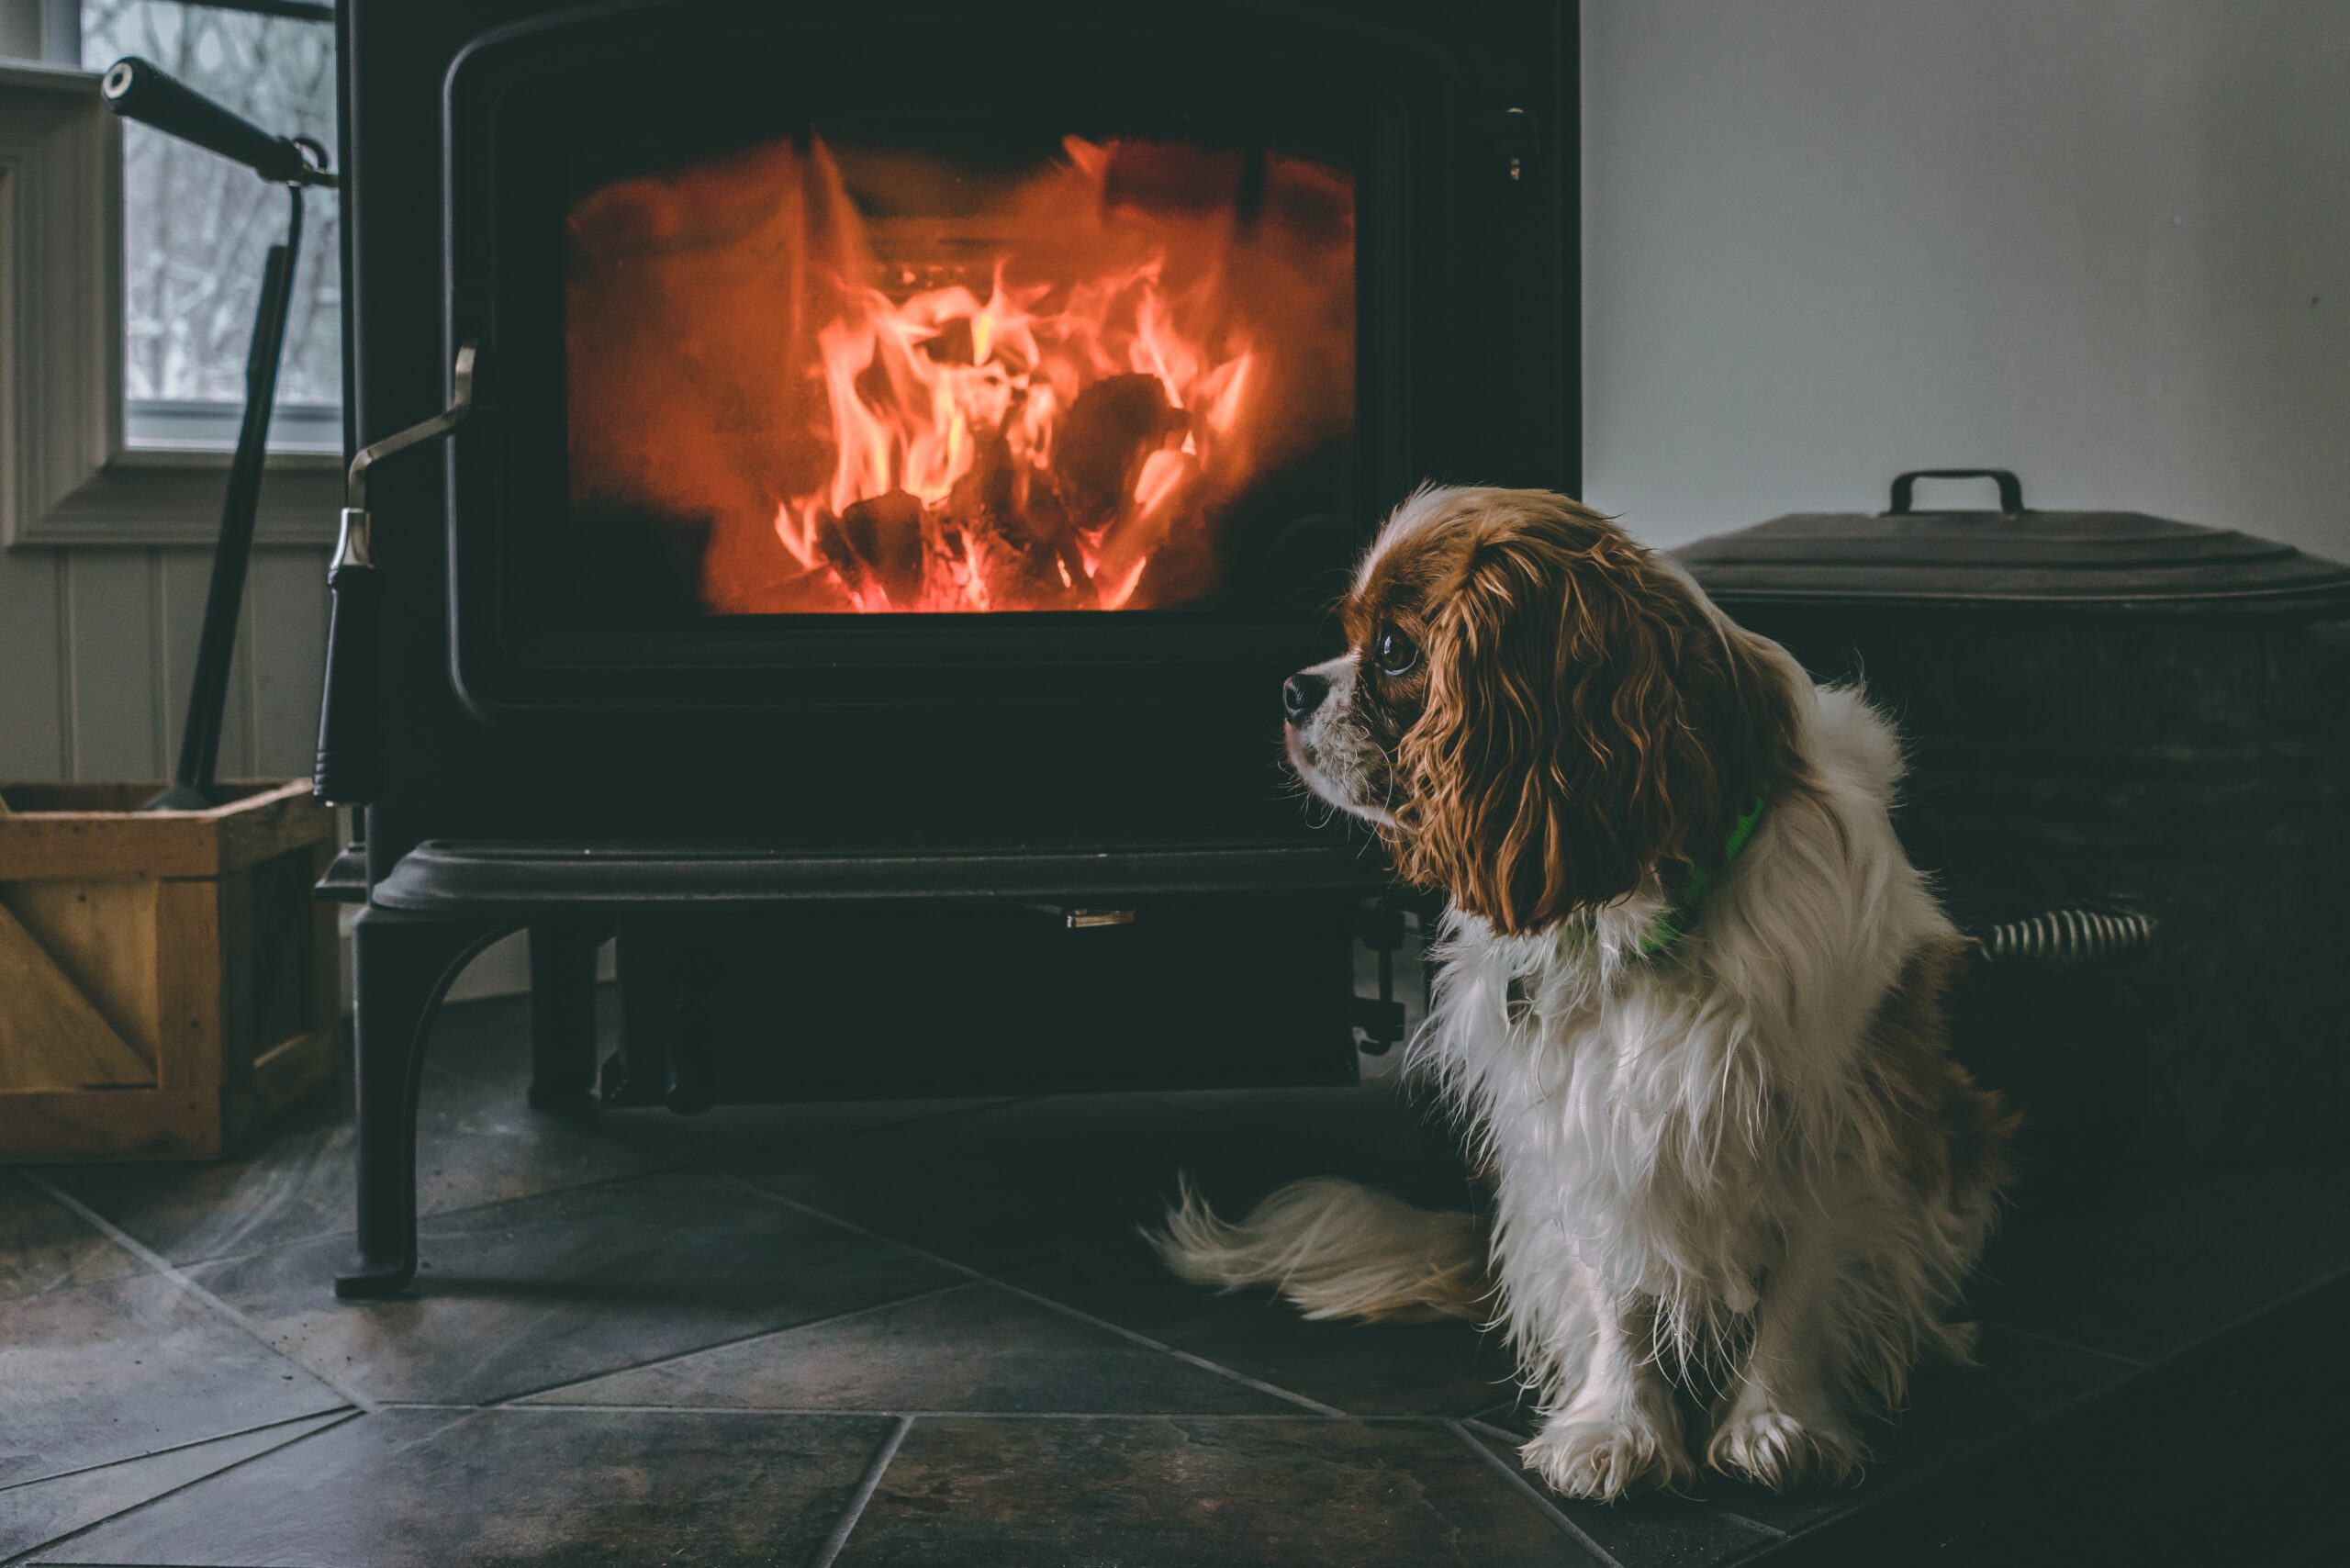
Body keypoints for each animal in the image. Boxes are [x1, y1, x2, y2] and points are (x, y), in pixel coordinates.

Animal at [1147, 487, 2011, 1495]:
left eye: (1394, 649)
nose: (1291, 689)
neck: (1643, 907)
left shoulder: (1836, 1119)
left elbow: (1804, 1281)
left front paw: (1777, 1420)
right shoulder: (1577, 1117)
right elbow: (1613, 1291)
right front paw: (1615, 1426)